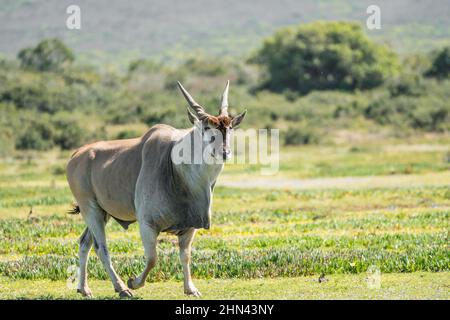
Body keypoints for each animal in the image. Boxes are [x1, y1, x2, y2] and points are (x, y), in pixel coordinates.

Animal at [67, 81, 246, 298]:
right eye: (206, 128)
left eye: (229, 128)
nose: (224, 152)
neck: (176, 167)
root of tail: (77, 154)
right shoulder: (147, 224)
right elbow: (152, 258)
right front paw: (134, 282)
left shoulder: (190, 227)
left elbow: (185, 255)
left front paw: (190, 289)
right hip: (90, 208)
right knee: (101, 247)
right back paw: (122, 288)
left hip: (102, 212)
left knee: (85, 242)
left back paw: (84, 288)